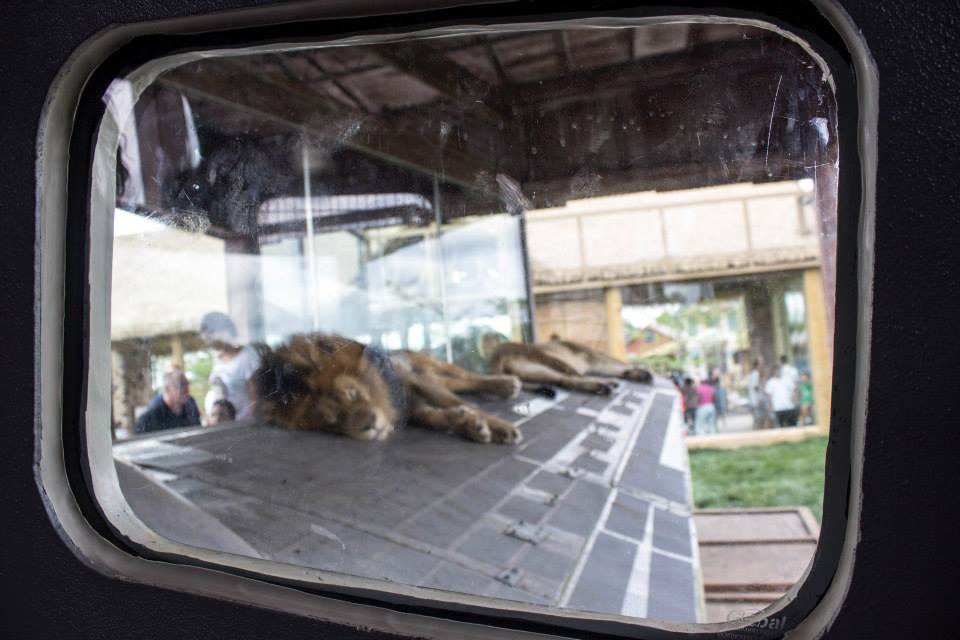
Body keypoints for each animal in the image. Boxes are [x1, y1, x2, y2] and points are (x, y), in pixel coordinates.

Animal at [253, 333, 523, 444]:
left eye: (350, 393)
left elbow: (460, 403)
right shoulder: (412, 408)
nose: (369, 426)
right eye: (333, 422)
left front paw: (500, 427)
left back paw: (505, 384)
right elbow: (438, 416)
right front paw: (470, 425)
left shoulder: (413, 381)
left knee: (466, 376)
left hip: (427, 363)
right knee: (457, 383)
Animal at [488, 335, 654, 396]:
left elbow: (621, 367)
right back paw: (604, 384)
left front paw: (638, 372)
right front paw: (641, 370)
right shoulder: (595, 358)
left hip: (538, 371)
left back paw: (599, 386)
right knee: (574, 375)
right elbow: (621, 365)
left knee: (566, 380)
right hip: (550, 360)